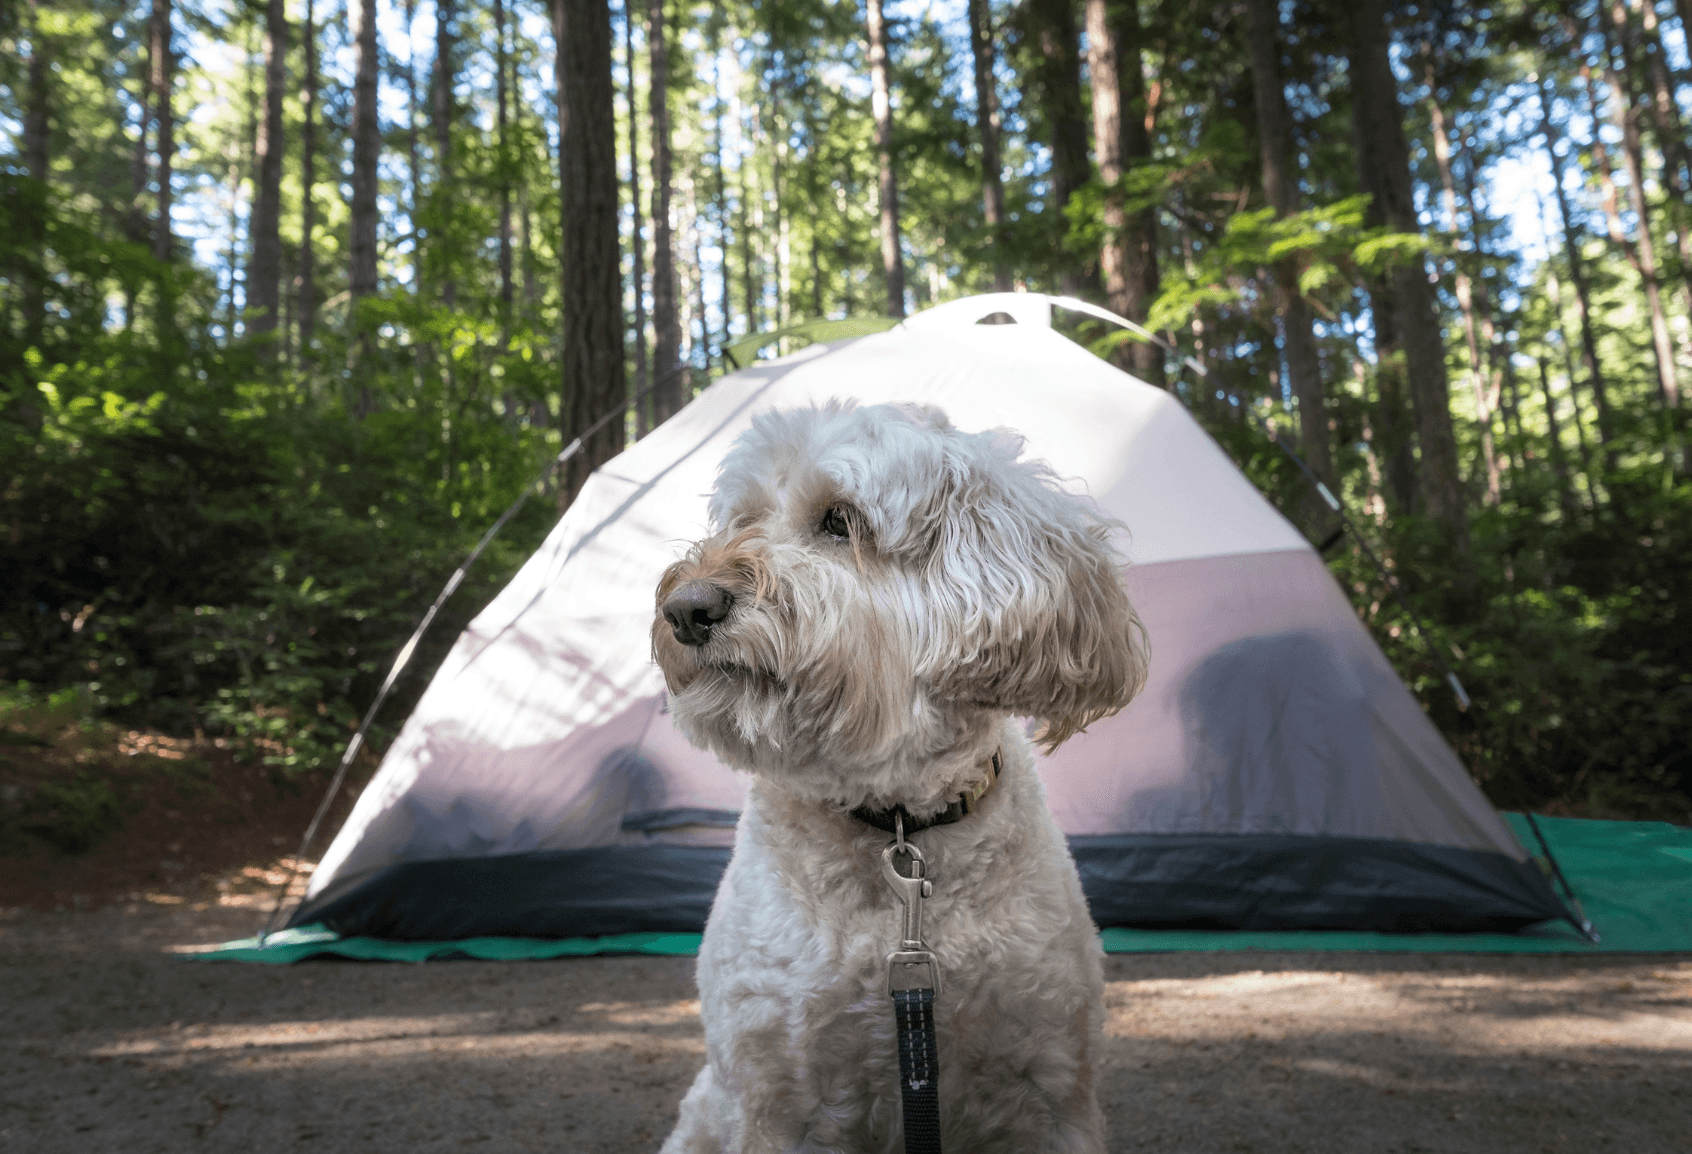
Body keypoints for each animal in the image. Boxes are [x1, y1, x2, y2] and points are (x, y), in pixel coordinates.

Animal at [649, 397, 1150, 1150]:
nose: (686, 608)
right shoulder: (777, 1103)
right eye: (740, 520)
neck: (896, 823)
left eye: (839, 520)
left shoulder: (1052, 1090)